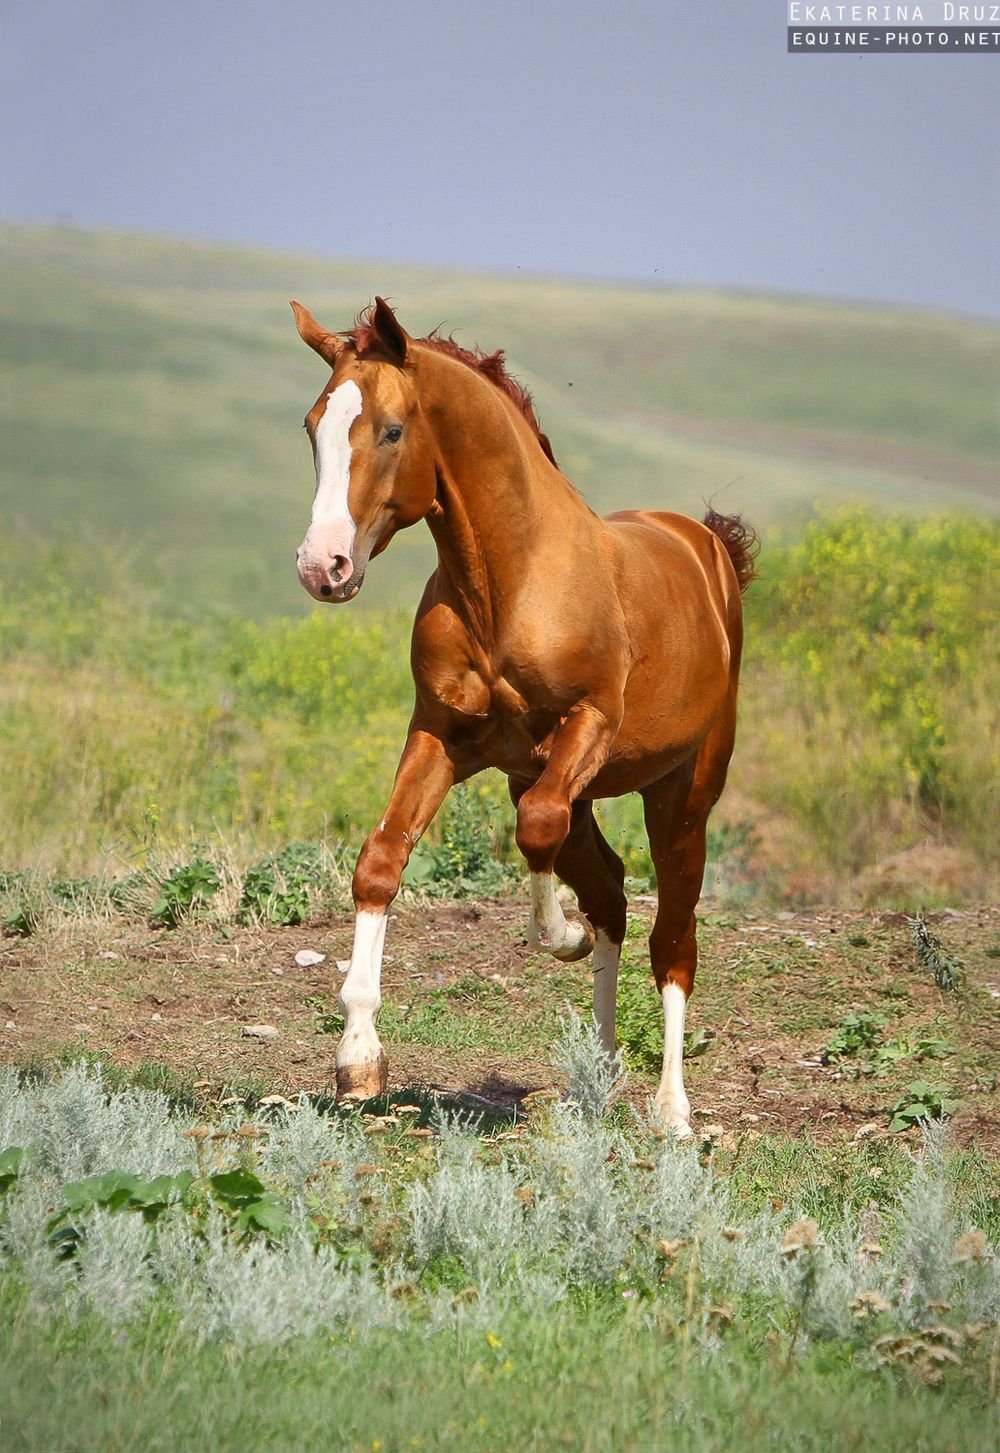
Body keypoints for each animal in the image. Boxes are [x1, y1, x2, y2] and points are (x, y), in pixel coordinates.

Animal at [293, 297, 755, 1133]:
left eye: (391, 429)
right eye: (313, 424)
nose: (324, 566)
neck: (510, 584)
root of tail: (708, 546)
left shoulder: (587, 728)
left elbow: (537, 832)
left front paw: (560, 935)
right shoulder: (441, 737)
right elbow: (380, 862)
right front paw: (358, 1061)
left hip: (682, 794)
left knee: (672, 935)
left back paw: (672, 1110)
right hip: (568, 786)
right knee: (613, 891)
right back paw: (594, 1081)